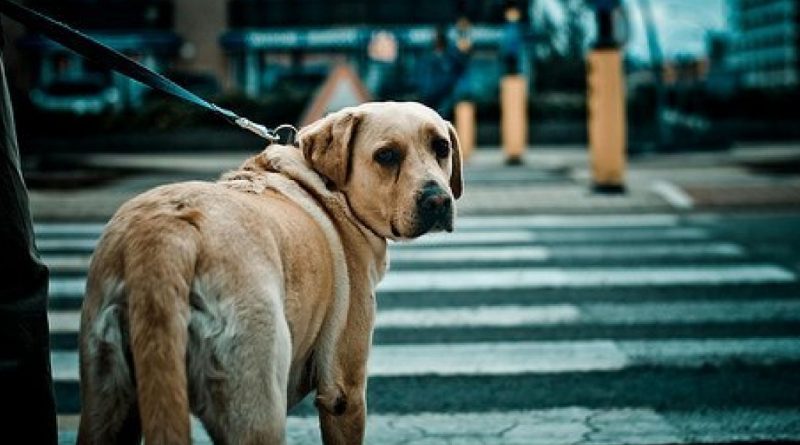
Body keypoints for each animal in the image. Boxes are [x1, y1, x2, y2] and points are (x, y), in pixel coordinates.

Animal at [76, 102, 462, 442]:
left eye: (441, 148)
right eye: (386, 156)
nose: (439, 201)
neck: (327, 187)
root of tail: (167, 229)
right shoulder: (344, 391)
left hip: (106, 401)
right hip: (255, 400)